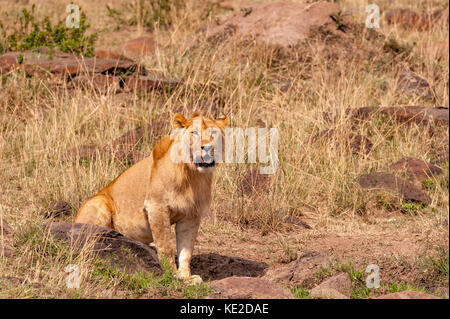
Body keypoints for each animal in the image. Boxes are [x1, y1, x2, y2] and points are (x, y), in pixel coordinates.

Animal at [75, 113, 229, 284]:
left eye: (214, 133)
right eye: (194, 133)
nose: (207, 147)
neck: (193, 175)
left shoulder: (191, 215)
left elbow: (186, 249)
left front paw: (186, 277)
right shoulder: (156, 206)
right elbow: (166, 246)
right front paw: (172, 275)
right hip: (99, 203)